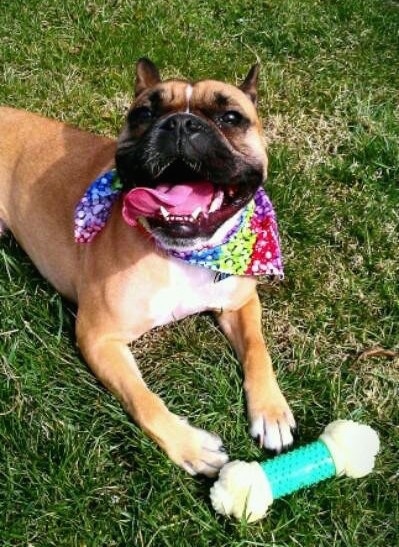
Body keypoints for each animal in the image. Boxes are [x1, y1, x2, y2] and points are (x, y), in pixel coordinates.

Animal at [0, 60, 294, 478]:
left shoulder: (239, 303)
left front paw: (271, 410)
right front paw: (190, 445)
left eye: (231, 117)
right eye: (143, 114)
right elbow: (143, 399)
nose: (181, 124)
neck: (184, 254)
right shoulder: (99, 337)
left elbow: (257, 348)